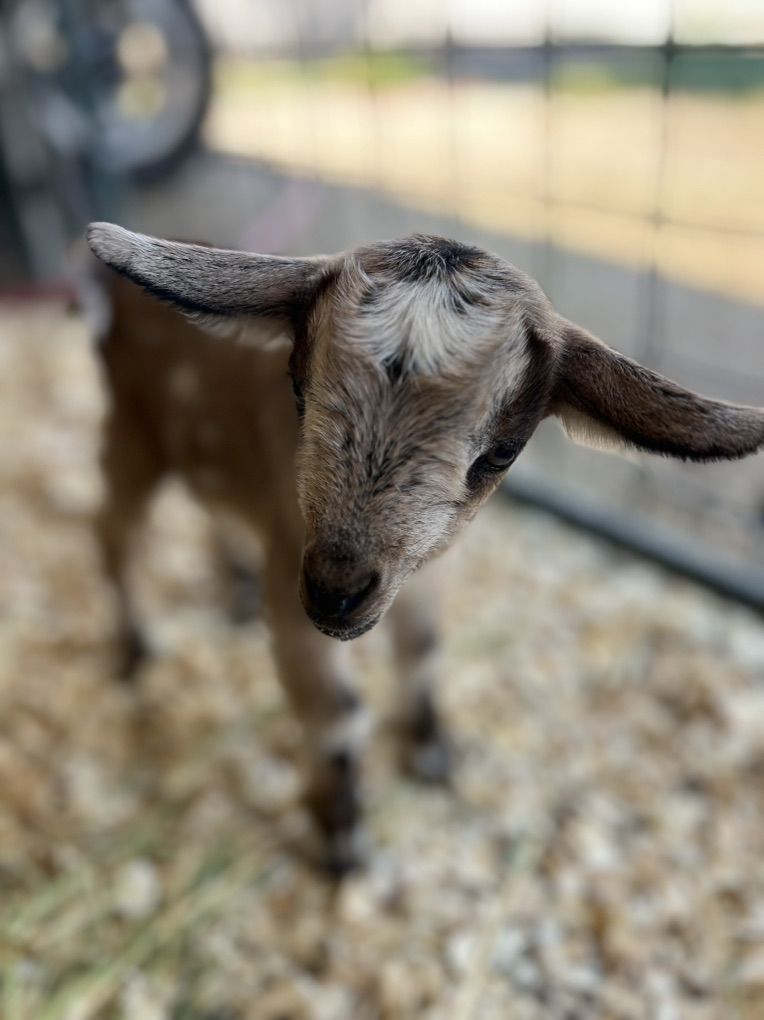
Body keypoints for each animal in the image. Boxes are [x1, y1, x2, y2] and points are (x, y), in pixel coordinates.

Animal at [85, 223, 764, 873]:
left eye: (502, 452)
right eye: (298, 390)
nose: (336, 594)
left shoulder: (425, 569)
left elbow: (423, 650)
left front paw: (431, 751)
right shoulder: (292, 574)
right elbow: (335, 711)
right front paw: (342, 842)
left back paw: (233, 591)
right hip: (131, 434)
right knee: (116, 533)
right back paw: (135, 649)